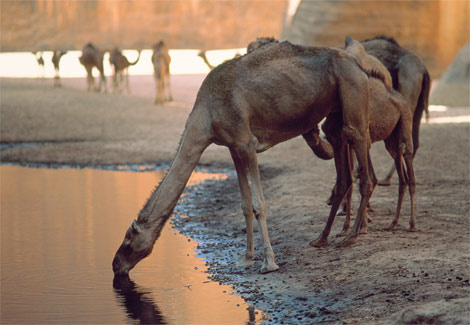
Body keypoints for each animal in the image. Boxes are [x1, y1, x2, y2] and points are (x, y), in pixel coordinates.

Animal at [114, 40, 374, 276]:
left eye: (128, 238)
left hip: (353, 90)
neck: (206, 116)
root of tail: (356, 63)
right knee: (344, 163)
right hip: (337, 110)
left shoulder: (246, 143)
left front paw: (269, 263)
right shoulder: (233, 147)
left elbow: (259, 204)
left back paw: (352, 237)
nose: (116, 265)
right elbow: (245, 205)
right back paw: (328, 237)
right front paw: (245, 259)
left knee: (360, 152)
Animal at [310, 38, 416, 246]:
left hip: (405, 126)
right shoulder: (345, 141)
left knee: (410, 169)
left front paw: (358, 229)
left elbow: (358, 177)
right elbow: (351, 180)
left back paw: (412, 224)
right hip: (391, 141)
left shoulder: (357, 138)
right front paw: (346, 229)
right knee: (402, 176)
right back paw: (393, 223)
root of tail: (399, 97)